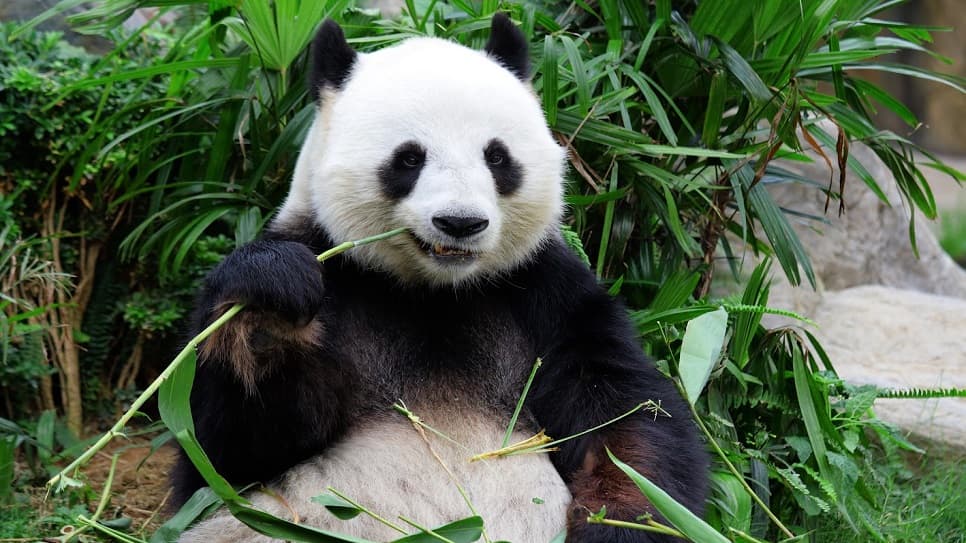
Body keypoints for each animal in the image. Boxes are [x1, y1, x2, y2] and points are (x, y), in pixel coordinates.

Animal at [172, 13, 708, 543]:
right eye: (409, 158)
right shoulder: (335, 270)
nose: (460, 222)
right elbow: (226, 454)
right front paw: (270, 307)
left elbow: (626, 417)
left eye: (497, 157)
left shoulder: (545, 291)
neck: (435, 292)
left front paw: (618, 523)